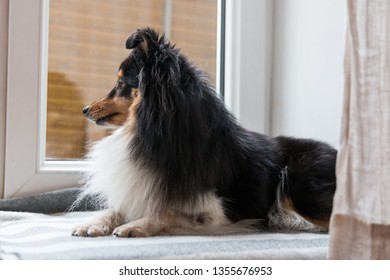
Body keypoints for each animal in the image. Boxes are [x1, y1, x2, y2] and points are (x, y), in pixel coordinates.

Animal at [71, 26, 336, 238]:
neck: (157, 135)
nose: (84, 110)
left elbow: (168, 212)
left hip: (297, 188)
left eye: (121, 84)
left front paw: (133, 226)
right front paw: (92, 224)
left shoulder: (220, 211)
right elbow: (117, 208)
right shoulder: (142, 189)